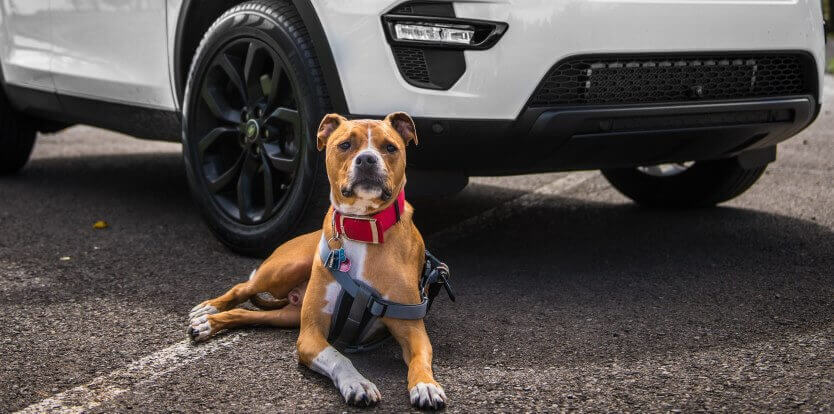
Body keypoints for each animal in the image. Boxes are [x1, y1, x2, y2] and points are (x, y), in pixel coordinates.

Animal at [187, 112, 448, 408]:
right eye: (345, 144)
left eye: (390, 147)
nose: (367, 159)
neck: (362, 227)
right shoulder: (310, 335)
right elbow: (339, 358)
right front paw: (357, 383)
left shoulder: (412, 330)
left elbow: (420, 360)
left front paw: (426, 385)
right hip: (282, 271)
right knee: (242, 287)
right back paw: (208, 310)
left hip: (288, 316)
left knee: (247, 314)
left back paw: (210, 323)